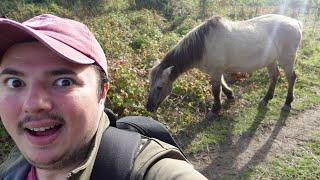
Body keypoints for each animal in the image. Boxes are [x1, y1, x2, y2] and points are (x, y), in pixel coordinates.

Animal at [147, 14, 302, 120]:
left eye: (160, 87)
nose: (149, 108)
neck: (204, 44)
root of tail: (295, 22)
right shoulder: (217, 71)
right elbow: (222, 83)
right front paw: (230, 95)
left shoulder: (216, 71)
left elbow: (215, 90)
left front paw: (215, 109)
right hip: (271, 60)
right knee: (274, 76)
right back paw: (266, 99)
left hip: (287, 59)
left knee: (291, 78)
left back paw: (288, 103)